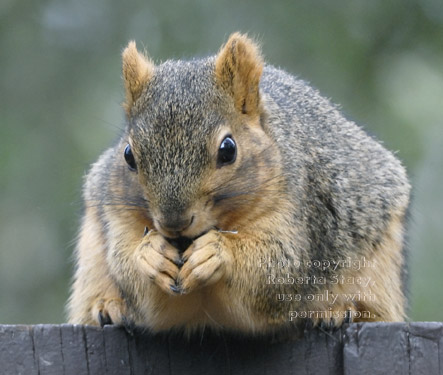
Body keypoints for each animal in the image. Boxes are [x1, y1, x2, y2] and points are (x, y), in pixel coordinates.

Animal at [67, 33, 412, 338]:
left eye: (228, 149)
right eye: (128, 155)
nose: (174, 223)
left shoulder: (300, 210)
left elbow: (276, 269)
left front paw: (218, 253)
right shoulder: (116, 212)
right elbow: (129, 269)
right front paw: (150, 254)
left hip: (380, 267)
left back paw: (338, 310)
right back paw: (109, 306)